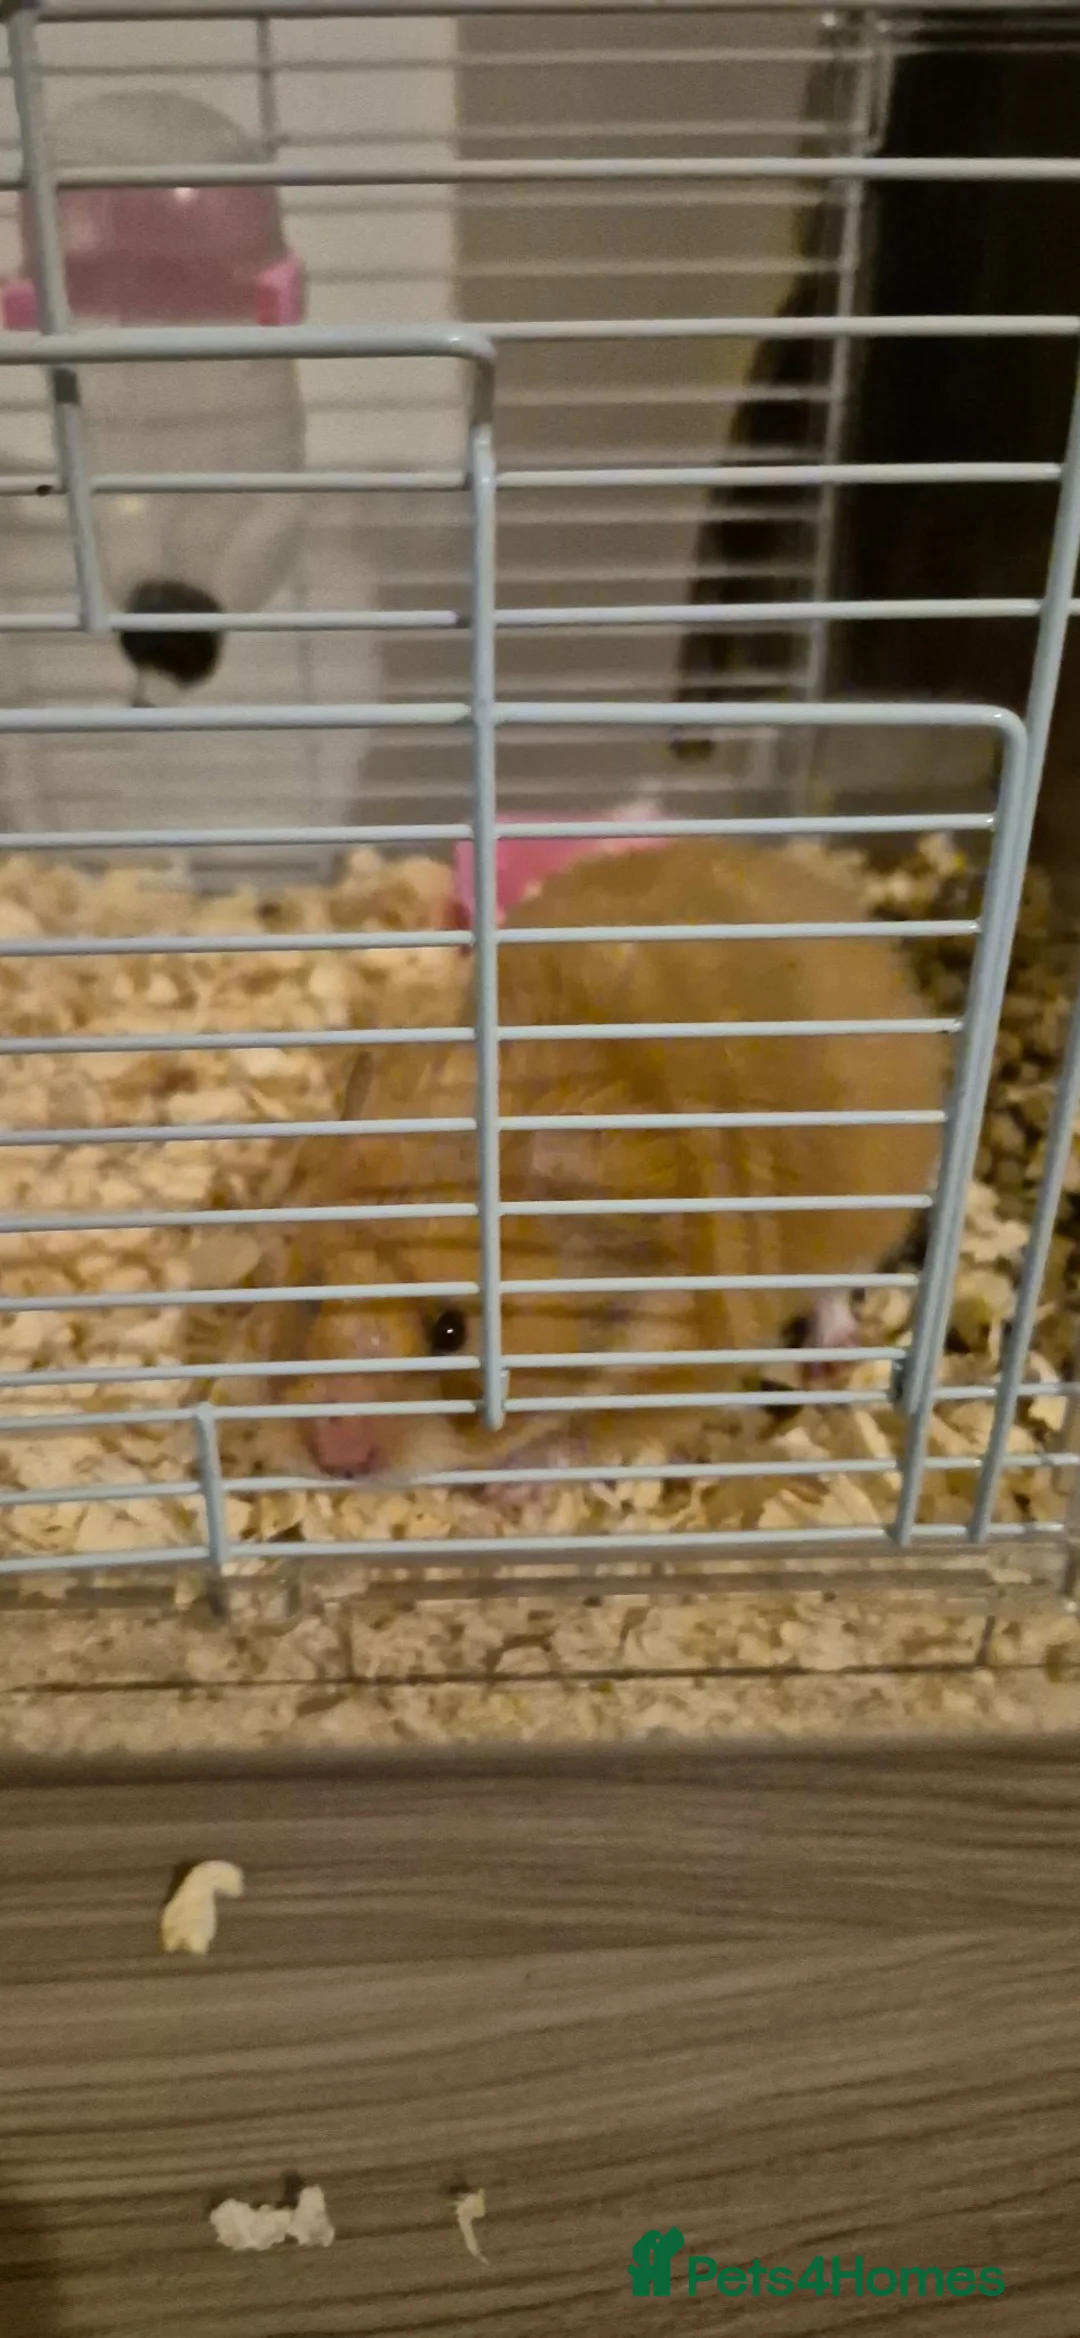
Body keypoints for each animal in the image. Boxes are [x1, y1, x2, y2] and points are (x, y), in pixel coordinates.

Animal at [264, 840, 946, 1483]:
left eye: (450, 1332)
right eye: (309, 1297)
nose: (334, 1460)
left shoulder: (682, 1365)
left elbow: (581, 1441)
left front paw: (508, 1489)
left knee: (840, 1286)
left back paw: (830, 1360)